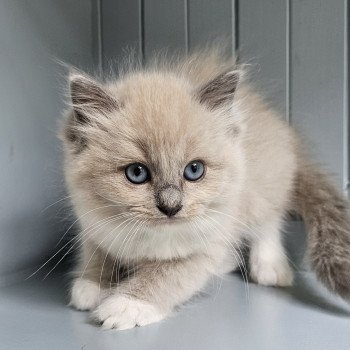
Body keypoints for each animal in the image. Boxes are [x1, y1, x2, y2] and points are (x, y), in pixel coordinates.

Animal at [61, 47, 350, 330]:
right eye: (137, 173)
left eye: (194, 170)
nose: (171, 206)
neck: (147, 240)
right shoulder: (93, 226)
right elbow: (96, 254)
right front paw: (92, 286)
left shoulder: (204, 248)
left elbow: (164, 276)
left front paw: (126, 305)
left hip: (262, 188)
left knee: (269, 221)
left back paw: (269, 267)